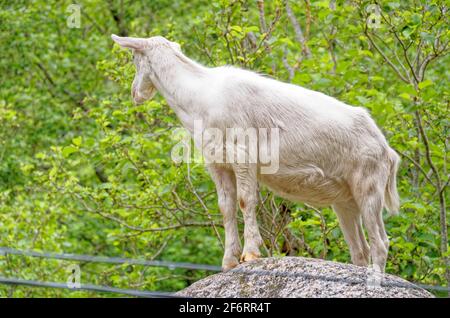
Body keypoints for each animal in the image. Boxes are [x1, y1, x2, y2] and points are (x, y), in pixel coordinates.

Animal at [110, 34, 400, 272]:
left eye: (134, 59)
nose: (135, 93)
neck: (201, 98)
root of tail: (387, 150)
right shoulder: (217, 162)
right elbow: (226, 207)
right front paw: (228, 262)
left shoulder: (243, 154)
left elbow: (245, 200)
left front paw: (250, 254)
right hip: (345, 200)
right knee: (360, 249)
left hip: (369, 186)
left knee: (381, 242)